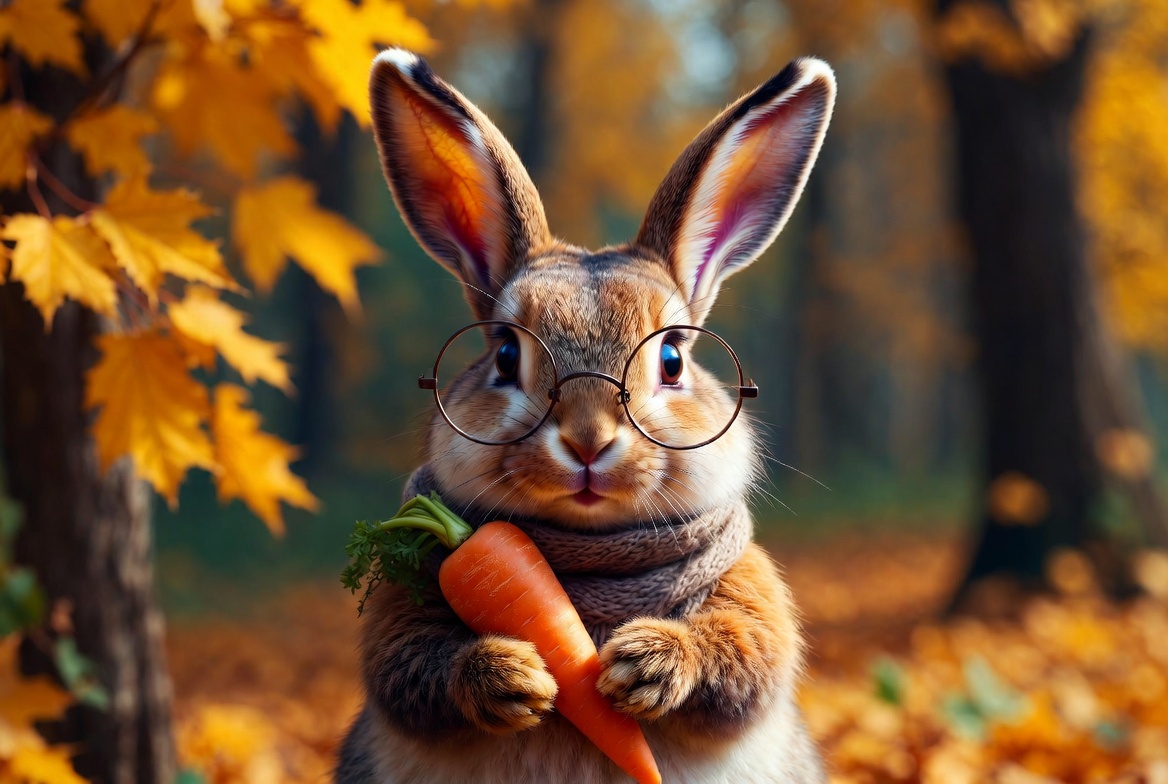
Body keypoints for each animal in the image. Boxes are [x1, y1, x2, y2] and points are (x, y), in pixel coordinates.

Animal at [336, 47, 835, 784]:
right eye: (505, 354)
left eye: (672, 360)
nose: (589, 441)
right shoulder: (404, 612)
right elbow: (407, 667)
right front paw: (512, 676)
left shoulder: (752, 598)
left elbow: (745, 657)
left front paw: (645, 666)